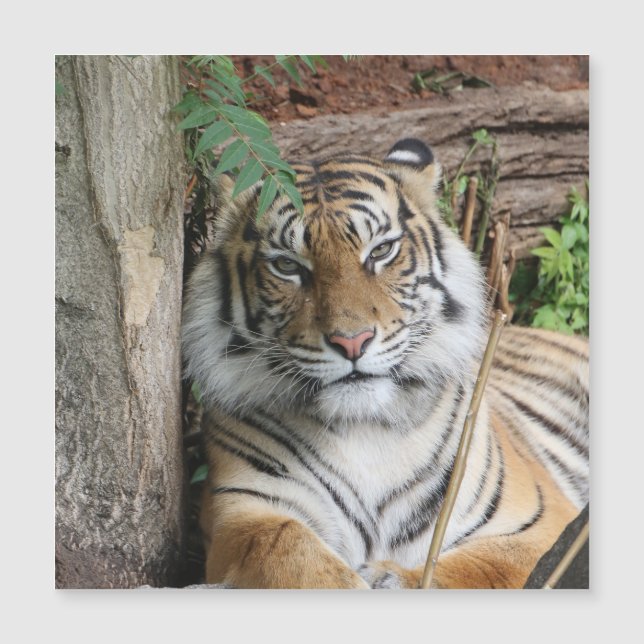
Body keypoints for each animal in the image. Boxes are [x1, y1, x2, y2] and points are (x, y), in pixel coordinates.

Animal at [181, 138, 589, 589]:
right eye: (287, 265)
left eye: (380, 251)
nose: (352, 341)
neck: (365, 431)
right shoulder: (239, 511)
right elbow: (280, 542)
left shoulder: (542, 524)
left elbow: (481, 567)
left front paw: (391, 578)